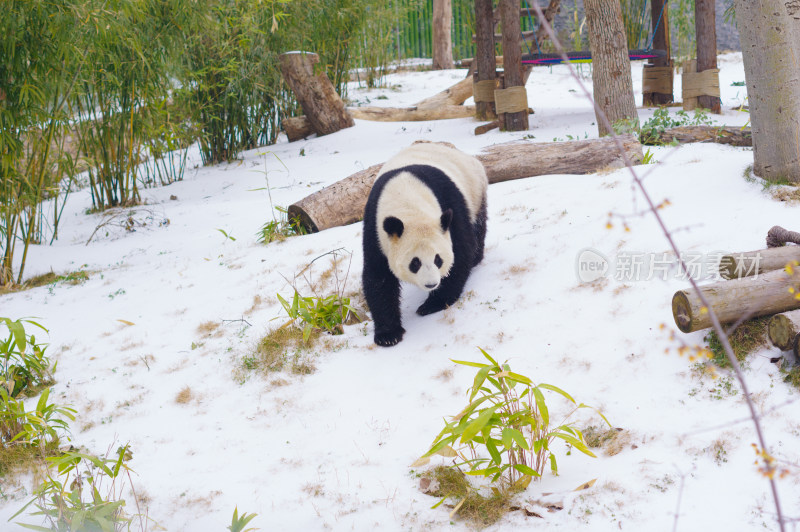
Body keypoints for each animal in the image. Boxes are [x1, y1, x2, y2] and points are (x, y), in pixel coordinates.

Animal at [362, 143, 488, 348]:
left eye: (438, 259)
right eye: (415, 263)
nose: (431, 284)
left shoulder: (450, 205)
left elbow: (461, 252)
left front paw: (432, 304)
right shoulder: (376, 228)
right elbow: (378, 277)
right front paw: (388, 335)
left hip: (475, 189)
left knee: (478, 225)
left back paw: (476, 258)